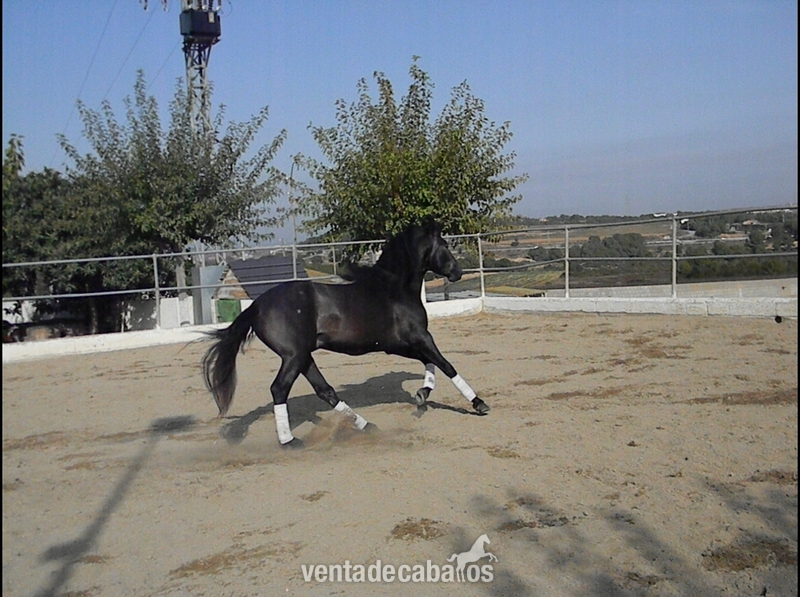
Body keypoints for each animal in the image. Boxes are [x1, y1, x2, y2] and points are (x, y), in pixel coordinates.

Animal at [202, 220, 490, 448]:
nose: (457, 272)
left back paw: (367, 426)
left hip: (303, 356)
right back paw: (290, 441)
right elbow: (446, 365)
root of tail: (256, 306)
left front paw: (422, 395)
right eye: (444, 244)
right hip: (293, 356)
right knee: (279, 389)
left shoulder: (399, 344)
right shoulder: (420, 338)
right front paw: (479, 404)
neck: (394, 288)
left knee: (325, 391)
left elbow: (430, 363)